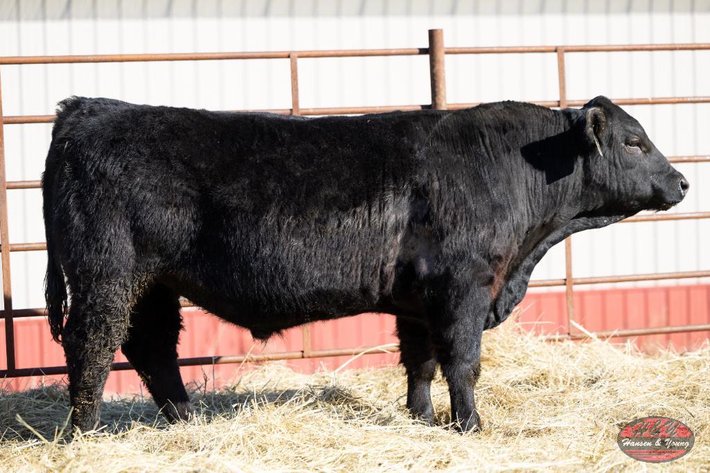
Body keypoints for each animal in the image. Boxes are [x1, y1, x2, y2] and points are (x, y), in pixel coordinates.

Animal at [42, 95, 688, 433]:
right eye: (634, 141)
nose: (682, 182)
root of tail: (88, 108)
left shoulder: (419, 299)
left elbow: (421, 362)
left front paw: (422, 418)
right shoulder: (464, 286)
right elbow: (463, 362)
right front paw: (471, 426)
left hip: (154, 284)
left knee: (151, 346)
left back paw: (184, 420)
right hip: (107, 273)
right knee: (92, 342)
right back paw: (85, 431)